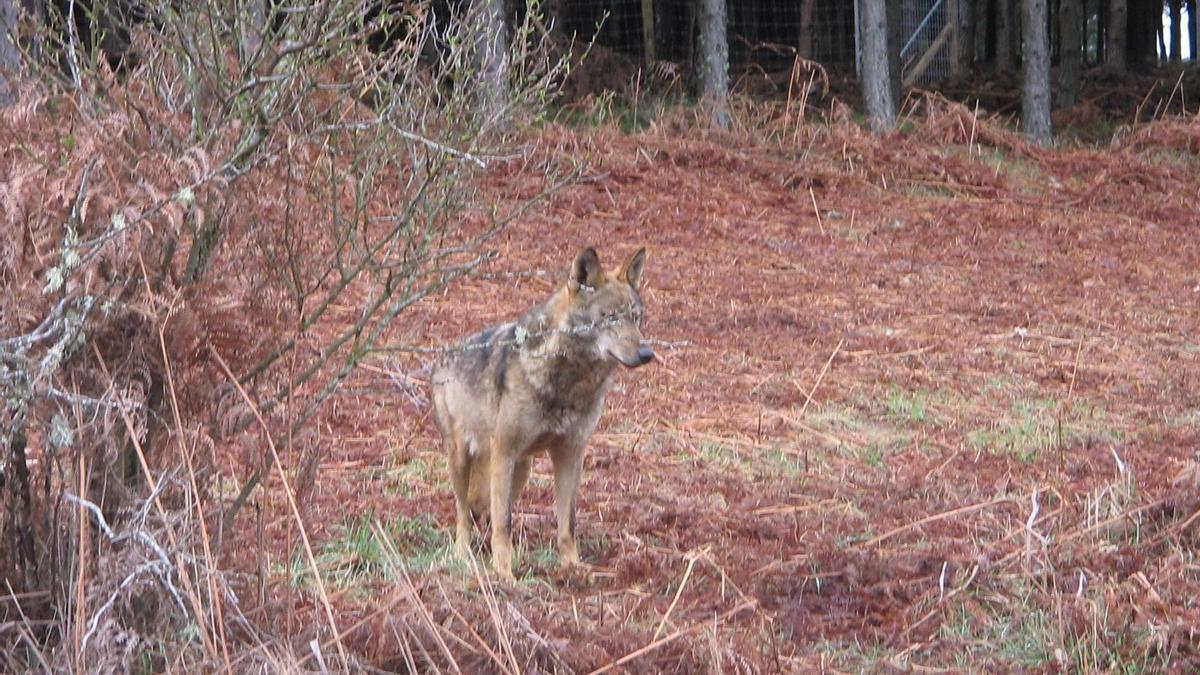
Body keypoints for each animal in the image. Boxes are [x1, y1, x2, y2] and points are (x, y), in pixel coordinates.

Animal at [432, 246, 657, 578]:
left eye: (636, 318)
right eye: (609, 318)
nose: (646, 354)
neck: (570, 382)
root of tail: (443, 355)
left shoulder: (571, 454)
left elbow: (567, 524)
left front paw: (574, 569)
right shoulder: (504, 451)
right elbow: (504, 524)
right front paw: (504, 576)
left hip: (520, 469)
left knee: (483, 512)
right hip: (466, 459)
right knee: (464, 513)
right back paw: (463, 556)